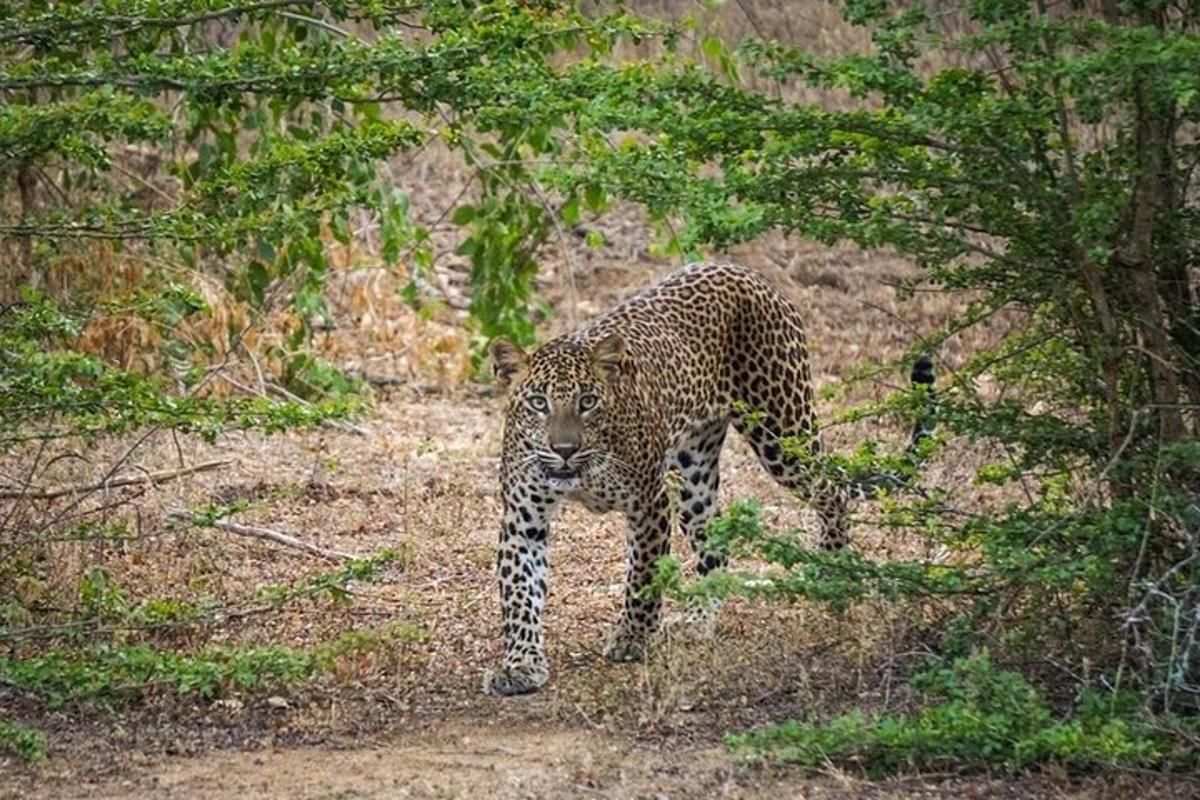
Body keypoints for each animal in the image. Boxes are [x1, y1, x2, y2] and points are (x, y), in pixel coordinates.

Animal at [482, 261, 931, 695]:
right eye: (538, 403)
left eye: (587, 401)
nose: (564, 449)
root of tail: (747, 271)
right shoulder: (523, 519)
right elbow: (521, 592)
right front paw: (521, 665)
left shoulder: (648, 503)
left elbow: (643, 576)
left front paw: (632, 637)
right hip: (694, 469)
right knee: (716, 541)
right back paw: (698, 617)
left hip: (783, 433)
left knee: (832, 492)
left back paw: (832, 570)